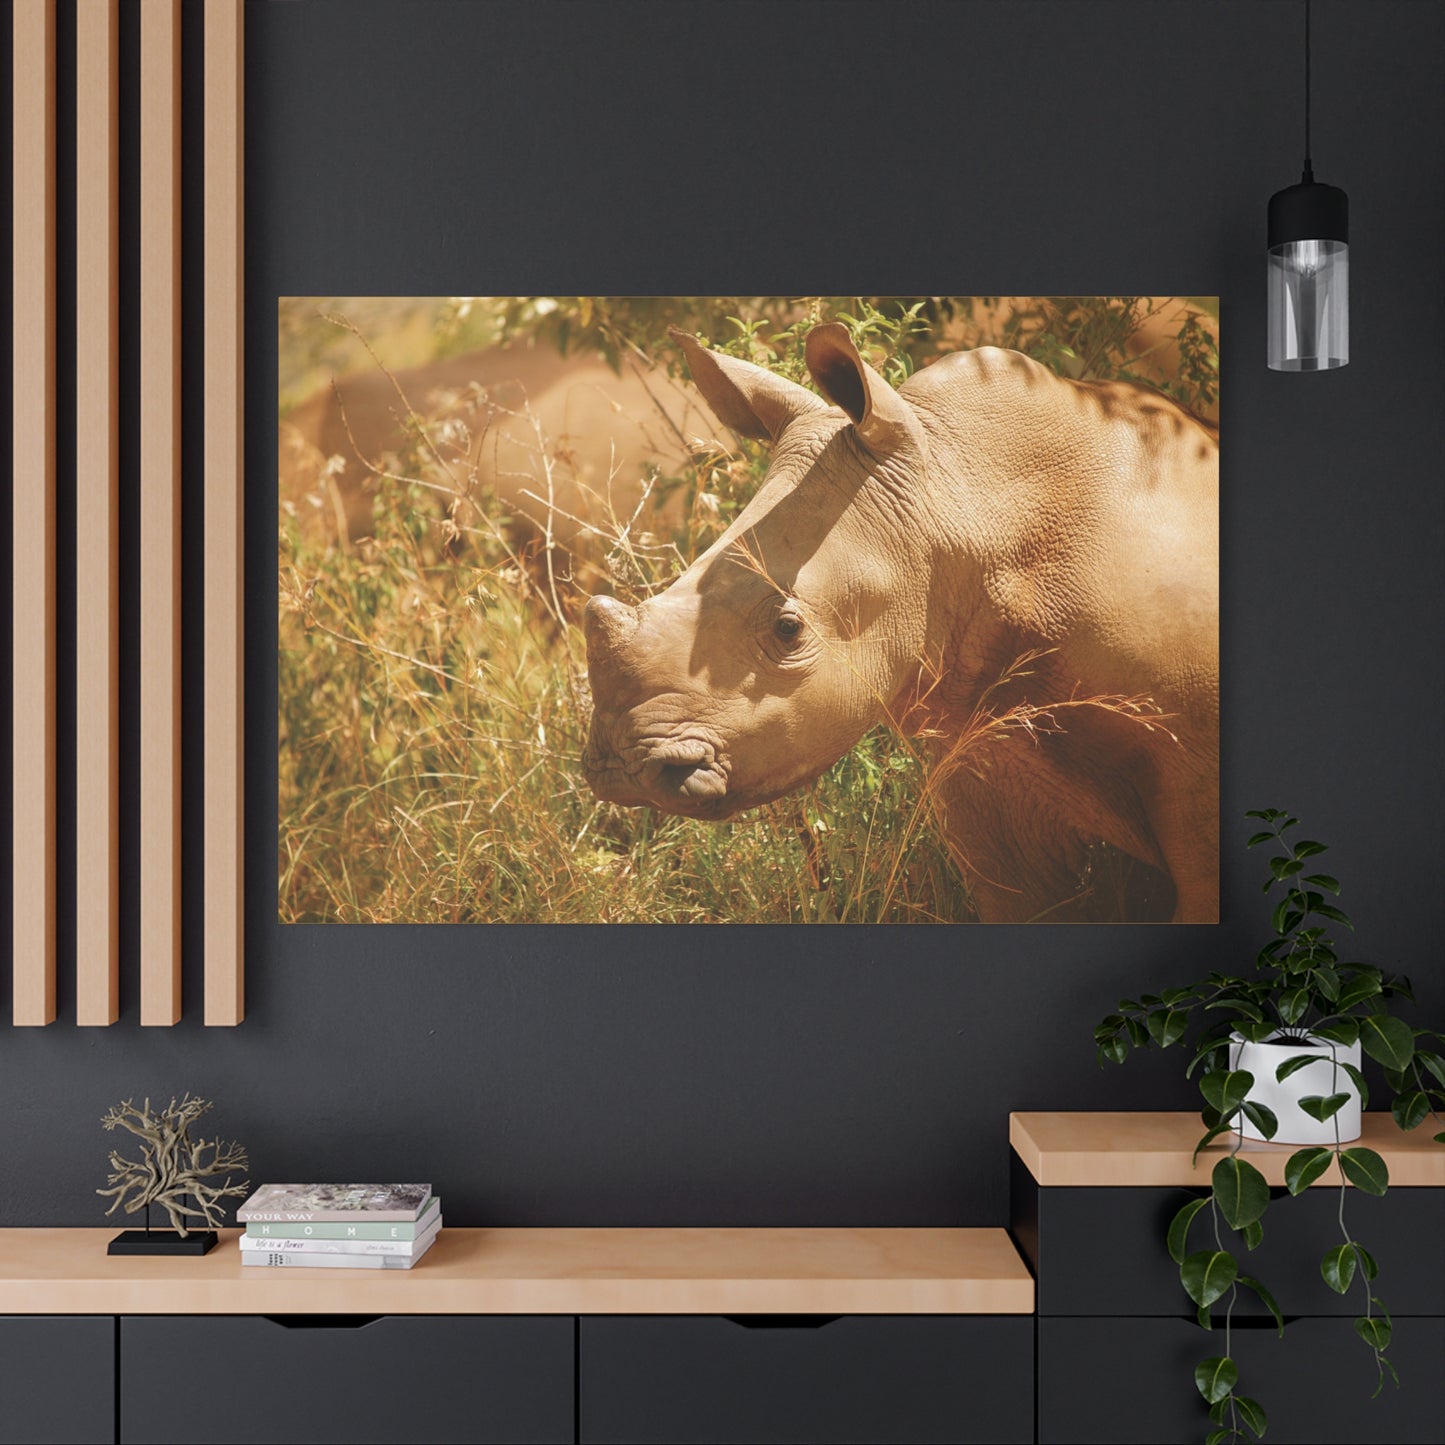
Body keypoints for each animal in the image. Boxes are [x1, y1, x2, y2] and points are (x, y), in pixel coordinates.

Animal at [581, 324, 1219, 923]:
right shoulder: (988, 756)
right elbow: (1029, 901)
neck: (966, 498)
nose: (624, 768)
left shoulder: (1197, 768)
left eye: (789, 629)